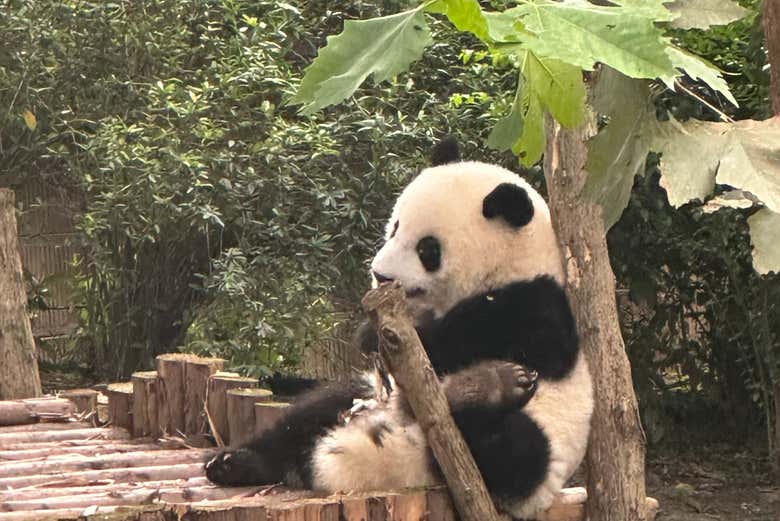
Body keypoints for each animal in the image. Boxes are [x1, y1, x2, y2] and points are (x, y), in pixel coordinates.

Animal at [204, 136, 596, 516]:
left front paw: (373, 337)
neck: (512, 266)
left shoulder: (535, 304)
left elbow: (485, 336)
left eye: (428, 249)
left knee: (515, 449)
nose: (380, 275)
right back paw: (232, 463)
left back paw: (487, 388)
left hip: (540, 449)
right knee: (306, 416)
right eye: (395, 228)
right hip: (359, 396)